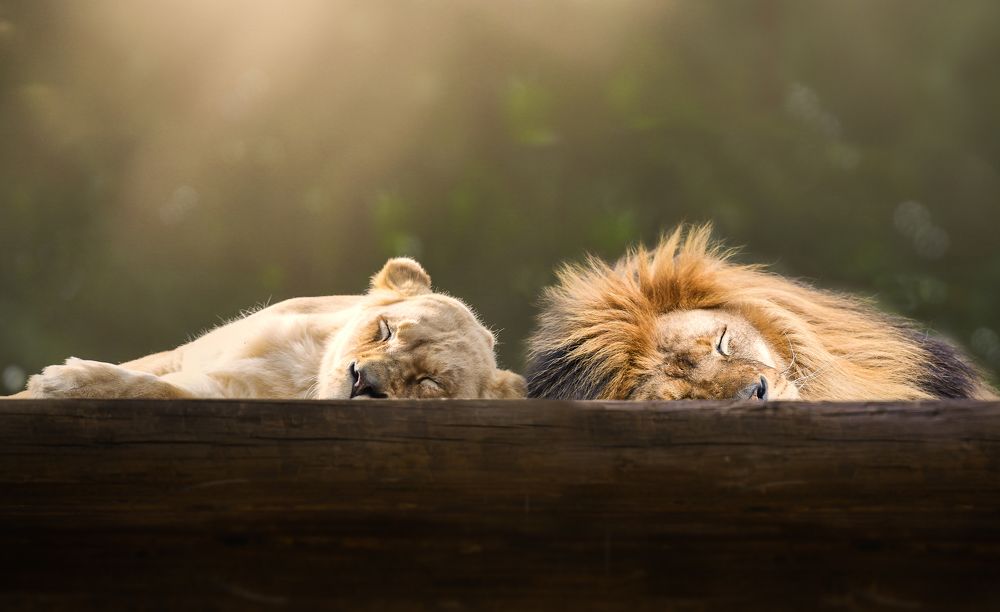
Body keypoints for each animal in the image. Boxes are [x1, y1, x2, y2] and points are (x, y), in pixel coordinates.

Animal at [11, 257, 526, 400]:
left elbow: (153, 390)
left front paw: (65, 380)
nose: (362, 382)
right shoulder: (185, 356)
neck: (302, 369)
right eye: (386, 331)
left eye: (429, 383)